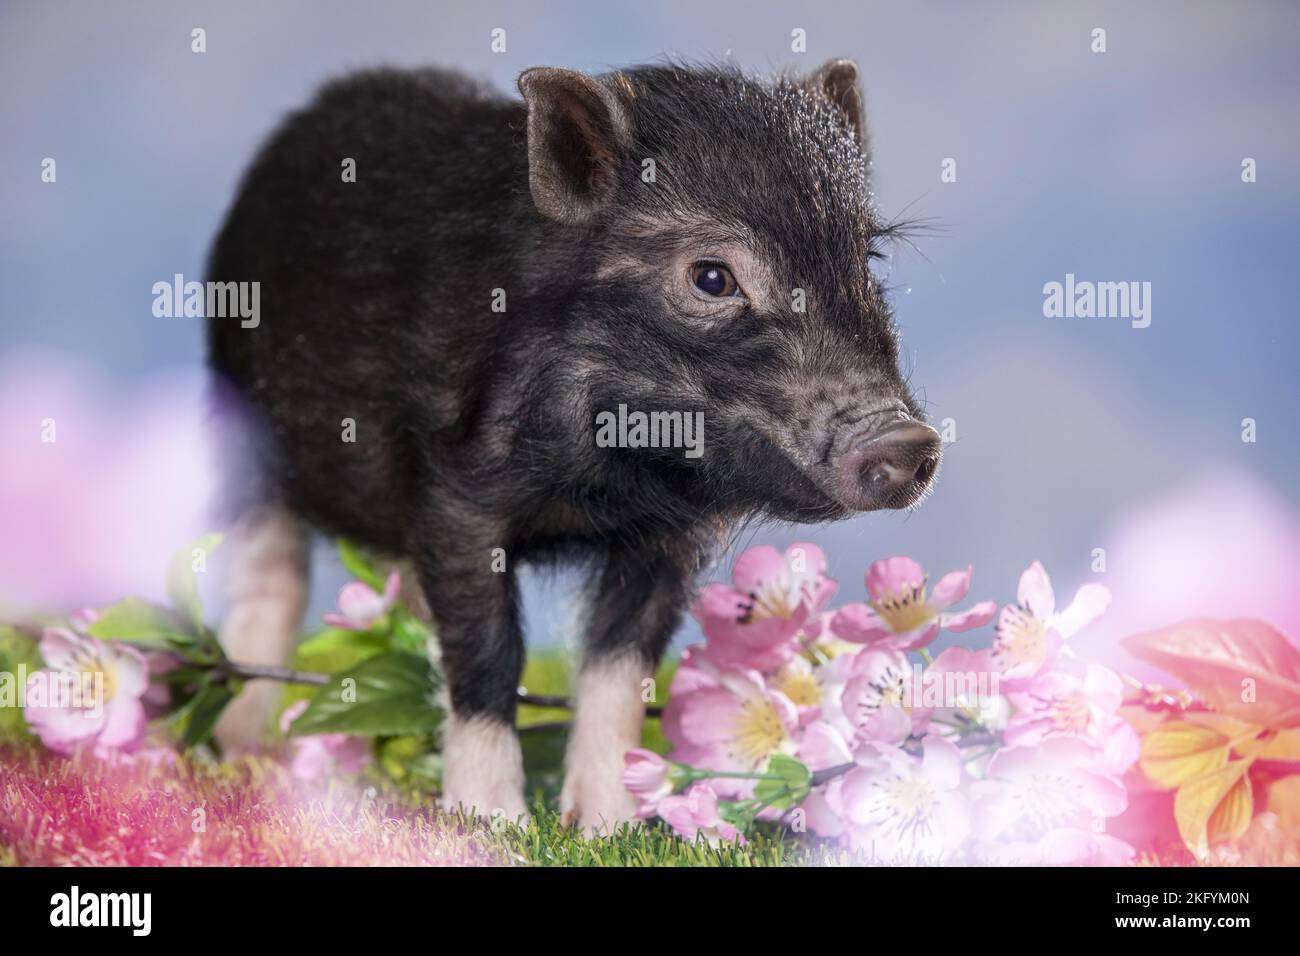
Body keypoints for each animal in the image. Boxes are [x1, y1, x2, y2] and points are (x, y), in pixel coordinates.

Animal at [205, 59, 941, 832]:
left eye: (867, 261)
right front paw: (493, 821)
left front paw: (613, 823)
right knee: (272, 582)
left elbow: (620, 666)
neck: (609, 471)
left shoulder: (666, 537)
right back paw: (238, 756)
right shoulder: (455, 499)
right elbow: (490, 652)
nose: (910, 441)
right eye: (712, 277)